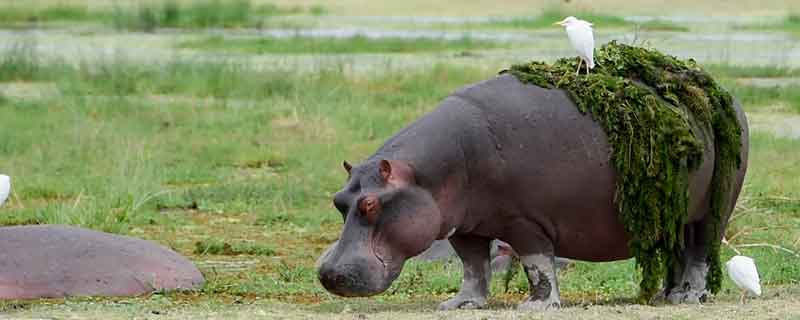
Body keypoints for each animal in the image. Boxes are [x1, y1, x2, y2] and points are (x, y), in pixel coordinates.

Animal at [314, 73, 752, 310]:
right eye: (338, 201)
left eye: (371, 204)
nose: (328, 272)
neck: (426, 175)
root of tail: (723, 92)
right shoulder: (465, 226)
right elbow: (473, 266)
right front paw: (459, 304)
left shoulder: (523, 221)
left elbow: (536, 263)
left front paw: (537, 304)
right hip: (674, 217)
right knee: (679, 252)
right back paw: (666, 295)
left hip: (713, 210)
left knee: (700, 251)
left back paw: (689, 298)